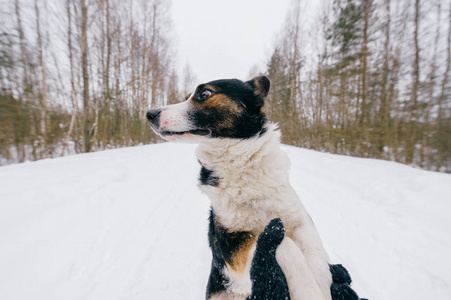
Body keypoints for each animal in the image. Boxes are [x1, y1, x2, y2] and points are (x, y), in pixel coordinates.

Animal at [147, 76, 362, 298]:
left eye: (205, 94)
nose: (150, 114)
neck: (242, 165)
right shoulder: (232, 244)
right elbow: (285, 245)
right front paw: (309, 292)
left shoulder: (301, 221)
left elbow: (318, 257)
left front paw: (325, 286)